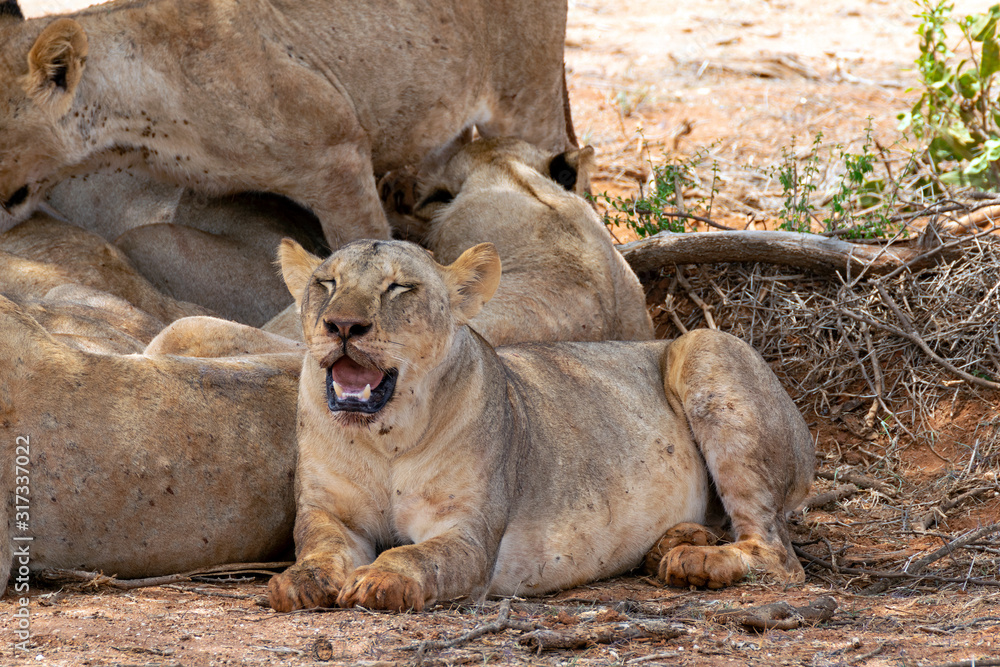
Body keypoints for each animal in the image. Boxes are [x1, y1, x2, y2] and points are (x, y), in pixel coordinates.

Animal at [267, 238, 814, 612]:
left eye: (398, 287)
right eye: (326, 283)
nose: (341, 325)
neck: (387, 439)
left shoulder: (469, 533)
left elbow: (418, 557)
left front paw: (379, 580)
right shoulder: (329, 513)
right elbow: (318, 548)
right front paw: (299, 581)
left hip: (705, 346)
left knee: (779, 554)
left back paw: (696, 563)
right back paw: (673, 544)